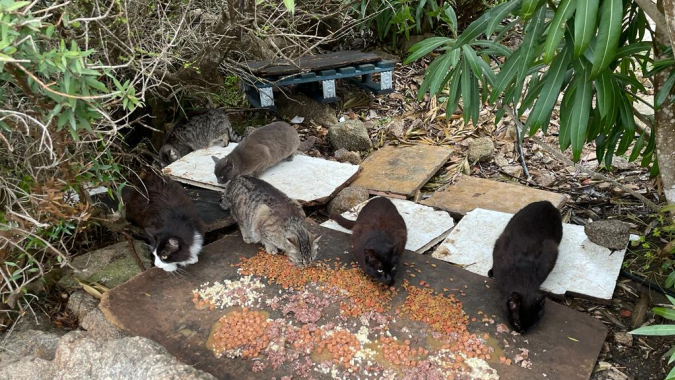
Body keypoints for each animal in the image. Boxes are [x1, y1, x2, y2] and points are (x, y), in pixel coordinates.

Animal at [488, 200, 564, 334]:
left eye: (533, 324)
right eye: (517, 322)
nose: (522, 331)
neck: (522, 273)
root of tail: (547, 202)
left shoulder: (551, 254)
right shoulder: (499, 247)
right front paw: (492, 272)